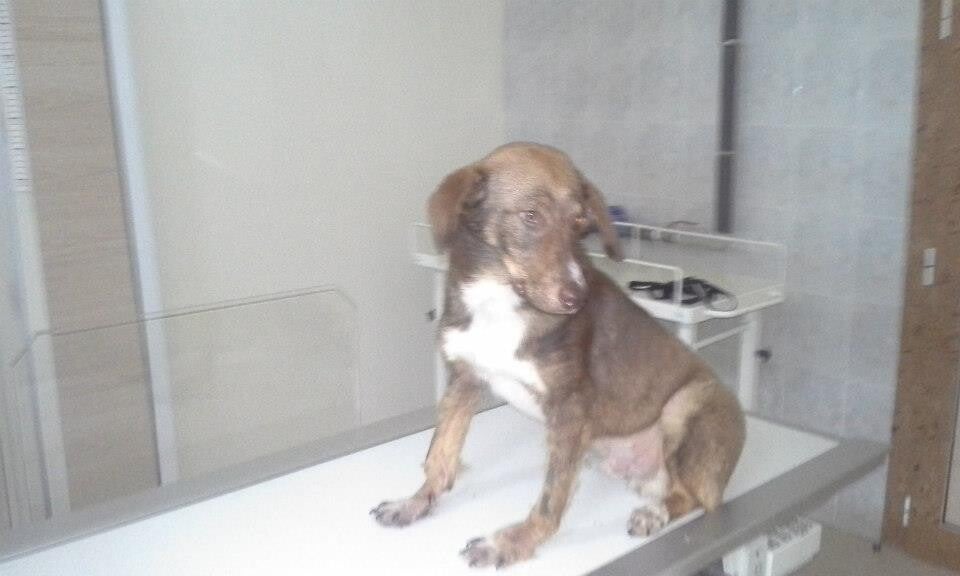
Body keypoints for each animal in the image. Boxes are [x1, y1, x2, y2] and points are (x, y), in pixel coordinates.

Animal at [372, 143, 745, 568]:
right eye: (531, 216)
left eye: (580, 221)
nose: (577, 298)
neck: (499, 296)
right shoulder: (465, 379)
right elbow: (439, 454)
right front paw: (415, 502)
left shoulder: (570, 408)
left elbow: (551, 501)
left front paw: (511, 543)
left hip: (688, 404)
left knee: (693, 496)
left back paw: (655, 513)